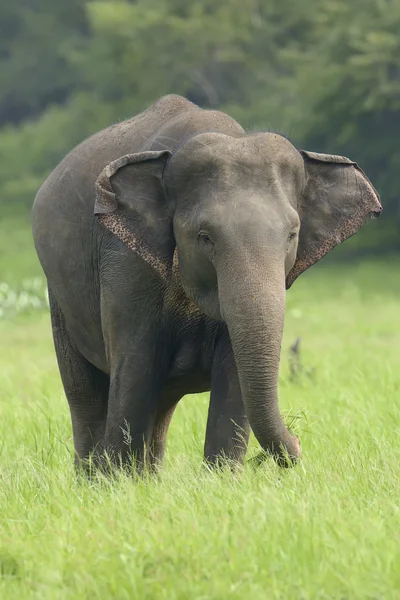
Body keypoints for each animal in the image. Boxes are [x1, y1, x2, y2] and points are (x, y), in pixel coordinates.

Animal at [31, 94, 382, 472]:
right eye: (205, 237)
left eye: (292, 235)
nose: (299, 444)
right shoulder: (126, 263)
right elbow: (136, 368)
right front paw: (118, 479)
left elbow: (234, 376)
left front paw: (222, 477)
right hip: (59, 299)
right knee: (86, 396)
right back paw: (94, 475)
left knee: (161, 406)